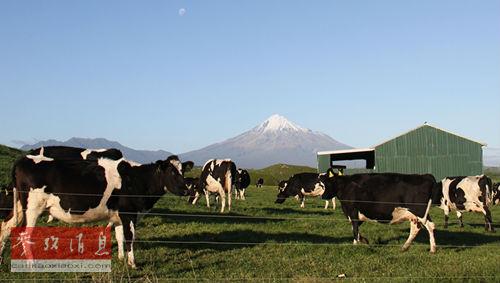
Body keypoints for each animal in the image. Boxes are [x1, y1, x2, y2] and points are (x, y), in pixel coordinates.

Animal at [0, 151, 191, 268]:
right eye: (172, 172)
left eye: (183, 171)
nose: (186, 189)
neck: (138, 179)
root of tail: (23, 159)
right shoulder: (129, 213)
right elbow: (130, 237)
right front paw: (133, 263)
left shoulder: (118, 216)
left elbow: (119, 236)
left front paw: (121, 259)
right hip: (33, 208)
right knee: (24, 234)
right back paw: (31, 265)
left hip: (19, 206)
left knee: (6, 228)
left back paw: (2, 259)